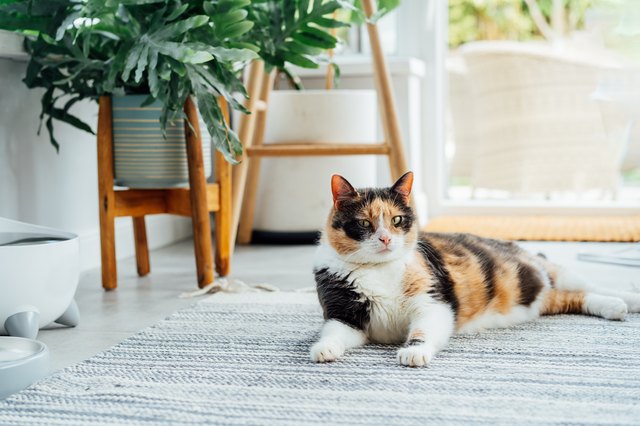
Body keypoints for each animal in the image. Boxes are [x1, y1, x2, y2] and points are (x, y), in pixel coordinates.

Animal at [310, 172, 640, 366]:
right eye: (364, 223)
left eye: (397, 220)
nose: (386, 238)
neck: (379, 272)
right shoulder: (344, 312)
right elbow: (335, 332)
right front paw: (323, 349)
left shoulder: (433, 301)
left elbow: (424, 329)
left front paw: (414, 352)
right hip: (544, 300)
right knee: (574, 297)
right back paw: (613, 308)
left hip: (552, 270)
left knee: (589, 284)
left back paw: (627, 300)